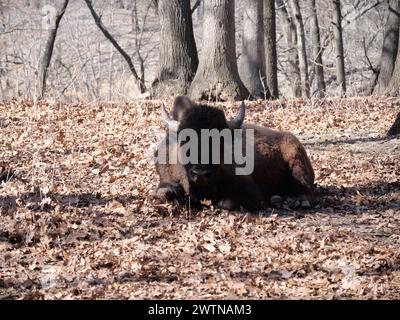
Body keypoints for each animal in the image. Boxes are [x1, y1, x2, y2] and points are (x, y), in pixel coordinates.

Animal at [152, 95, 314, 210]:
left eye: (220, 140)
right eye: (184, 139)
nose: (200, 174)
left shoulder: (250, 191)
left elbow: (226, 202)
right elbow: (164, 193)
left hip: (297, 163)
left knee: (307, 191)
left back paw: (293, 202)